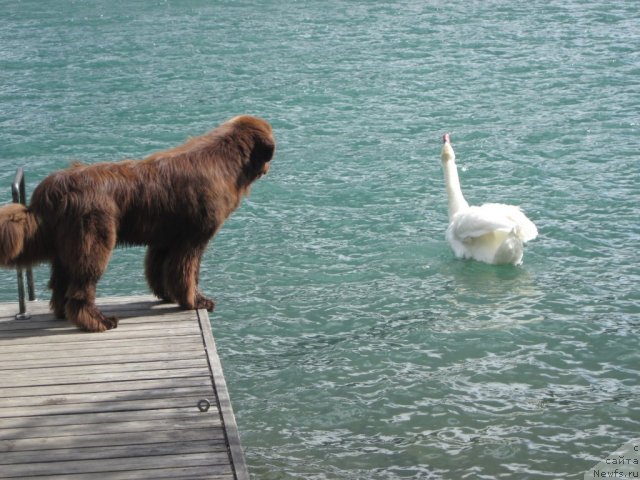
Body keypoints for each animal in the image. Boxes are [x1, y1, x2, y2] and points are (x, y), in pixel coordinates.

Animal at [0, 116, 272, 334]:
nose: (268, 168)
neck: (225, 160)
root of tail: (52, 190)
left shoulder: (164, 241)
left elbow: (159, 271)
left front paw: (168, 296)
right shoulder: (192, 239)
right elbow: (186, 274)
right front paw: (195, 301)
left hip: (67, 249)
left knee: (61, 287)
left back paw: (64, 315)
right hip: (93, 242)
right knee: (80, 292)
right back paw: (97, 322)